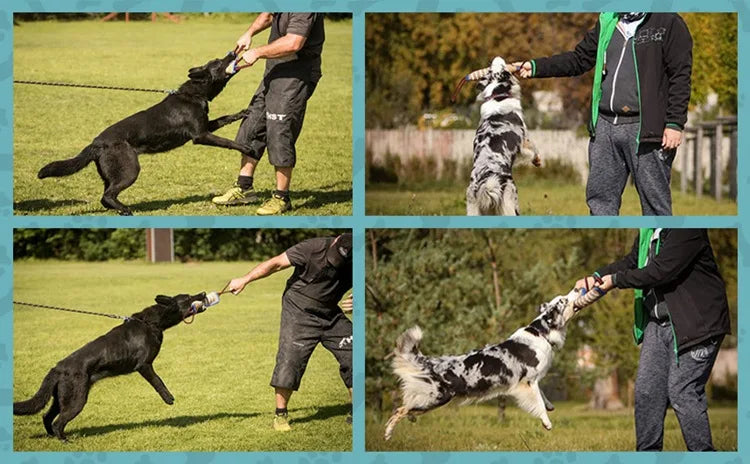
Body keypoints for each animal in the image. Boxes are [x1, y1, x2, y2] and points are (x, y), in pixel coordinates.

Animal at [14, 294, 209, 442]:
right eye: (188, 297)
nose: (203, 293)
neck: (151, 322)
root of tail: (57, 368)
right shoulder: (144, 365)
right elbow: (158, 381)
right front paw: (168, 398)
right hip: (77, 400)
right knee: (57, 422)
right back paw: (64, 440)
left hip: (61, 398)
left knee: (47, 416)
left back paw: (52, 437)